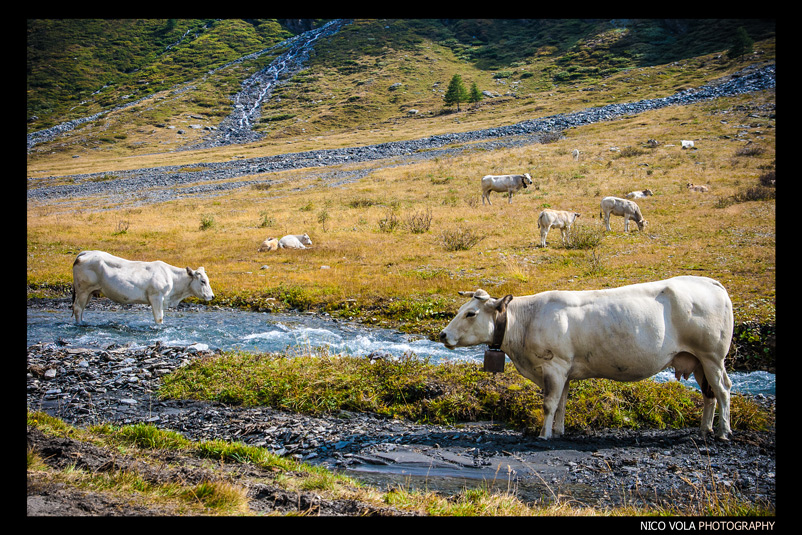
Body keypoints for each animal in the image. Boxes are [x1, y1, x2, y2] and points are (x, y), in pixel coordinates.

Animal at [71, 250, 214, 324]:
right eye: (203, 281)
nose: (212, 296)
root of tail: (86, 253)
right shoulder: (156, 297)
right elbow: (159, 318)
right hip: (83, 290)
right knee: (77, 308)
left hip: (90, 292)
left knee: (82, 309)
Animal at [439, 276, 734, 440]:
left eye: (471, 313)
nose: (442, 334)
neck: (527, 320)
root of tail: (712, 282)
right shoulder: (565, 372)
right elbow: (561, 403)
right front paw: (558, 431)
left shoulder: (555, 366)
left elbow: (549, 403)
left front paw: (544, 435)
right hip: (697, 360)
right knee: (709, 394)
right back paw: (705, 429)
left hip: (712, 356)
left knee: (722, 390)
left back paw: (723, 432)